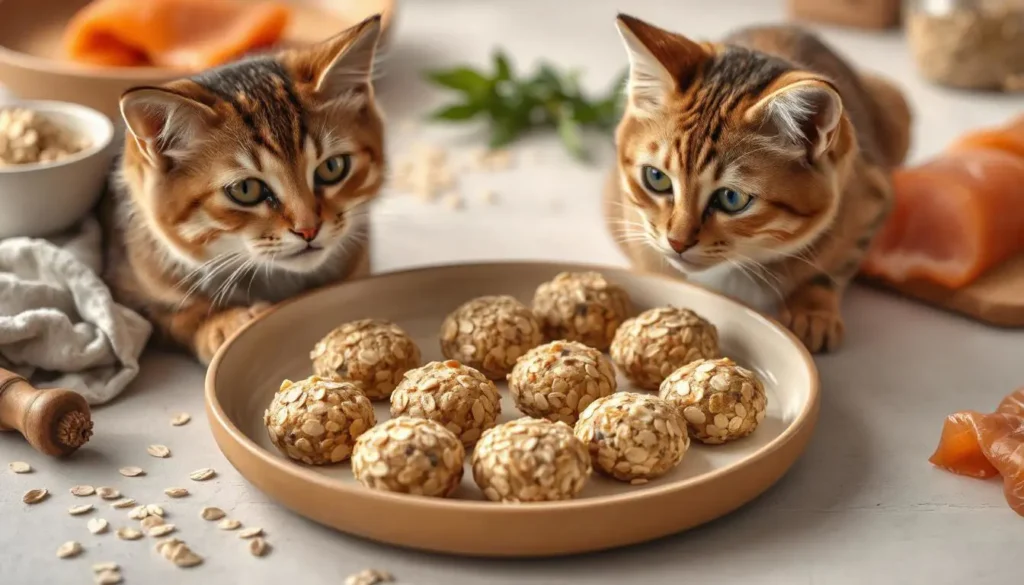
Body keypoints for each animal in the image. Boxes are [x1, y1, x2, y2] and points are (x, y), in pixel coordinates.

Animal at [102, 16, 385, 364]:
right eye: (246, 189)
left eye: (332, 168)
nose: (309, 229)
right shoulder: (127, 287)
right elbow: (175, 315)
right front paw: (226, 324)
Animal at [598, 13, 913, 352]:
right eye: (656, 178)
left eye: (731, 198)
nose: (677, 242)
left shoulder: (871, 199)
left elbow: (834, 265)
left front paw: (812, 310)